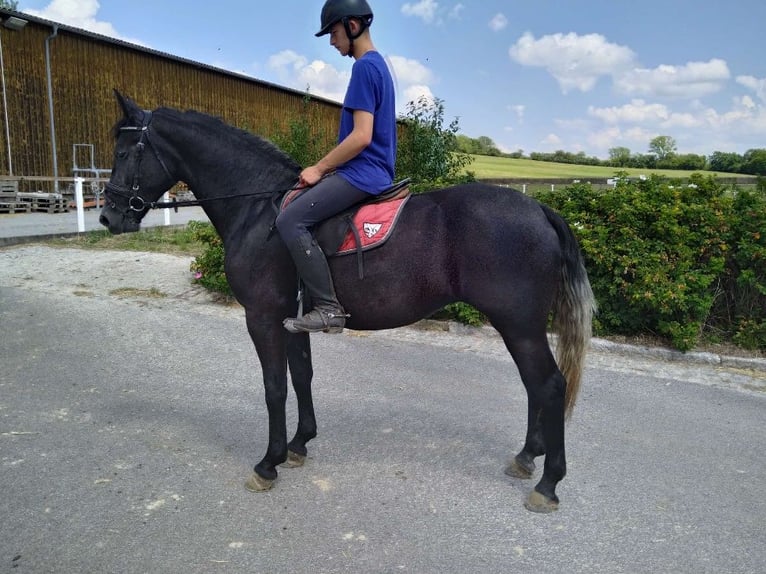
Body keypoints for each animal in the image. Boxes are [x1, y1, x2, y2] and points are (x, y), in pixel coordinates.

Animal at [100, 91, 595, 513]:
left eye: (124, 153)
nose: (108, 216)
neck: (259, 208)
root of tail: (540, 210)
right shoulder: (292, 319)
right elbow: (301, 377)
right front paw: (298, 445)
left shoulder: (262, 317)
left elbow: (274, 387)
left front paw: (268, 463)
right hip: (518, 324)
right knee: (535, 385)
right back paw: (527, 457)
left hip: (518, 323)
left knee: (549, 385)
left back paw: (548, 482)